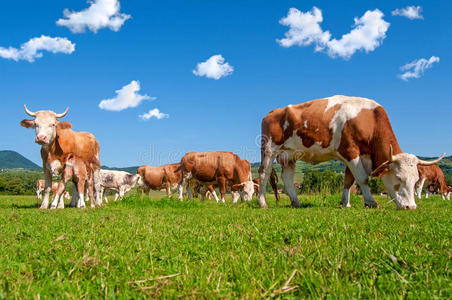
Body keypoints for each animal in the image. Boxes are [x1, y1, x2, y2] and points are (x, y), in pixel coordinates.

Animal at [258, 95, 444, 210]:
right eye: (399, 178)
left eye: (416, 180)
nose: (411, 207)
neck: (369, 119)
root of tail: (272, 112)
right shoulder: (350, 151)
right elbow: (362, 178)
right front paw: (371, 202)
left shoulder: (357, 154)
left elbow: (349, 179)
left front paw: (345, 203)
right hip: (269, 149)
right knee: (263, 174)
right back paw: (262, 203)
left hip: (290, 154)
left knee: (287, 178)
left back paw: (296, 202)